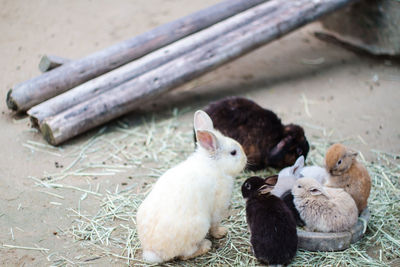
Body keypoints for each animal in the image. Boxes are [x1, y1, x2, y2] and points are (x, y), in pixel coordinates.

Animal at [137, 109, 247, 264]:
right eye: (233, 153)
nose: (246, 159)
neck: (214, 165)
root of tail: (153, 252)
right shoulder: (217, 209)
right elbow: (215, 225)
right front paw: (222, 232)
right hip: (200, 226)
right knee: (185, 254)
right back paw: (206, 245)